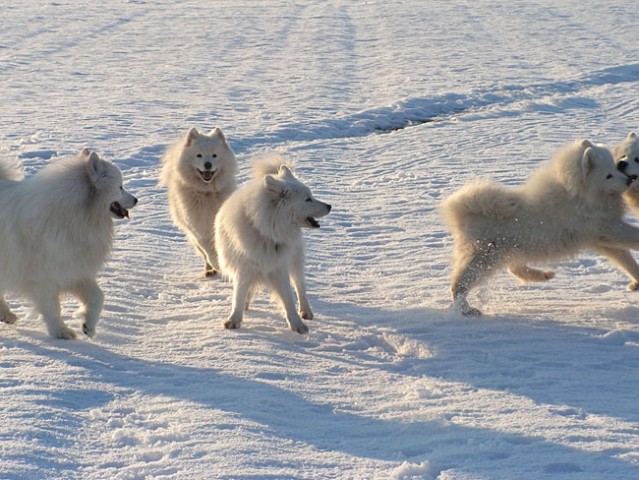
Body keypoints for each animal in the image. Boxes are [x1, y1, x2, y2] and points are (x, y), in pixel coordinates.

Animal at [0, 148, 138, 340]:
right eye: (120, 187)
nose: (136, 200)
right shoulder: (44, 277)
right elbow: (53, 308)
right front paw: (60, 332)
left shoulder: (73, 269)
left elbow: (98, 296)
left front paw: (89, 326)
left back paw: (6, 315)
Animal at [161, 127, 239, 278]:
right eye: (199, 155)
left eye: (214, 155)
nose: (207, 165)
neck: (206, 192)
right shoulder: (199, 230)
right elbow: (209, 252)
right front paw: (217, 264)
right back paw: (210, 270)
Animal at [442, 140, 639, 316]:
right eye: (608, 176)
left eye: (615, 168)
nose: (629, 180)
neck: (577, 194)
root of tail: (461, 211)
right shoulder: (607, 228)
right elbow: (632, 237)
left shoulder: (600, 238)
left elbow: (626, 260)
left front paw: (636, 279)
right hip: (484, 258)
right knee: (459, 285)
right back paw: (466, 310)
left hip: (507, 251)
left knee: (514, 269)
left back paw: (542, 275)